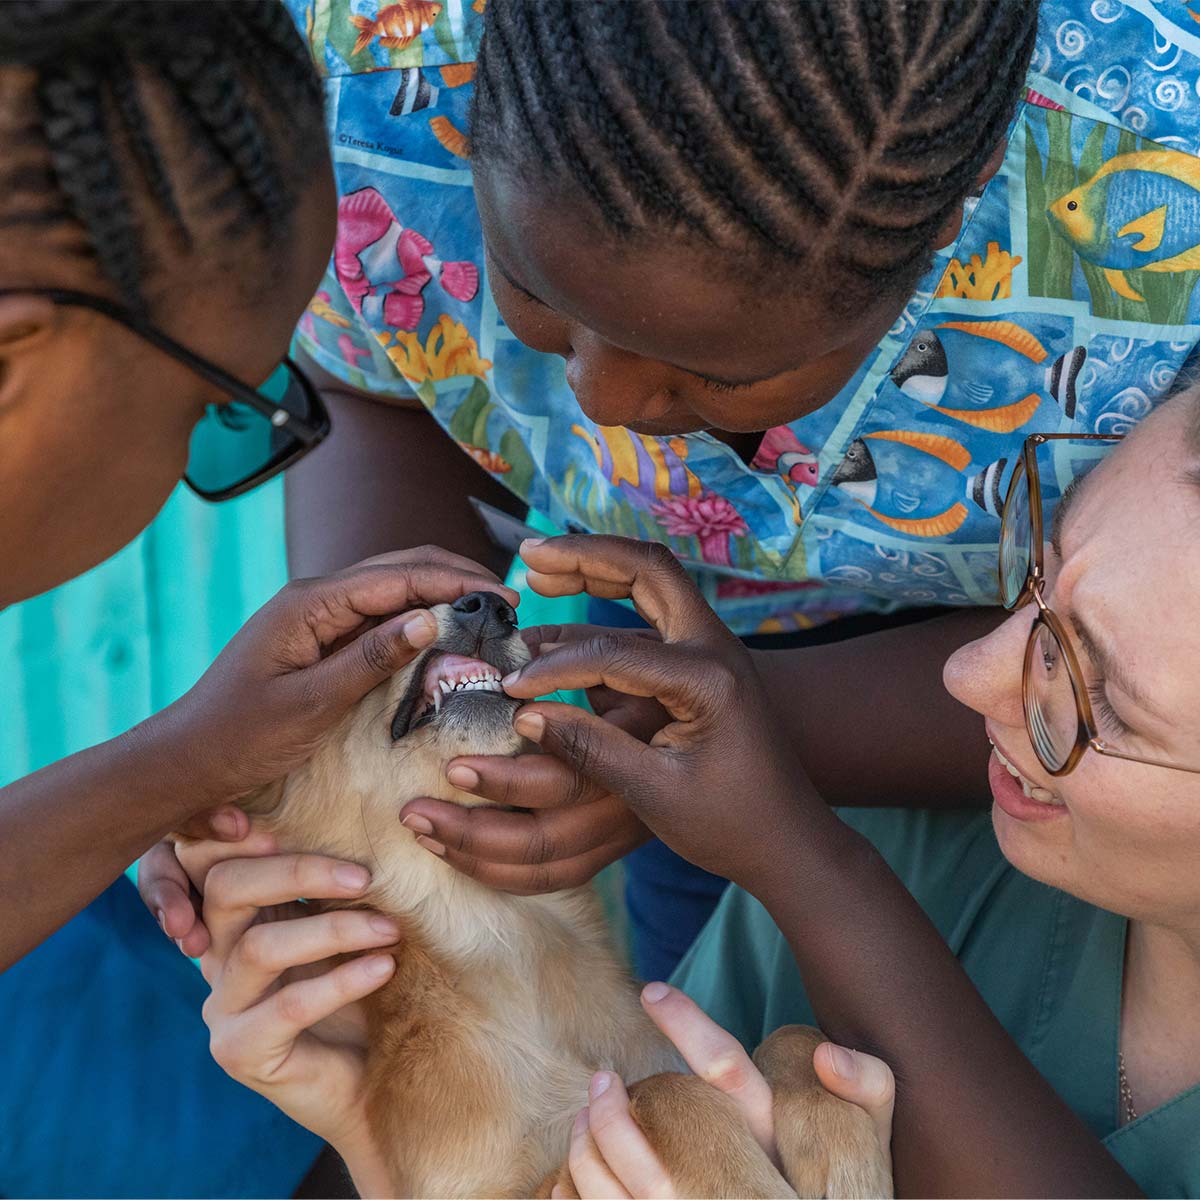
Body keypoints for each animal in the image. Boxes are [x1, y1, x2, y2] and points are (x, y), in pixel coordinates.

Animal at [234, 595, 892, 1195]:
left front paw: (842, 1148)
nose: (490, 604)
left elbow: (794, 1035)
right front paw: (742, 1183)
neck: (512, 935)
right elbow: (657, 1090)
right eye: (367, 630)